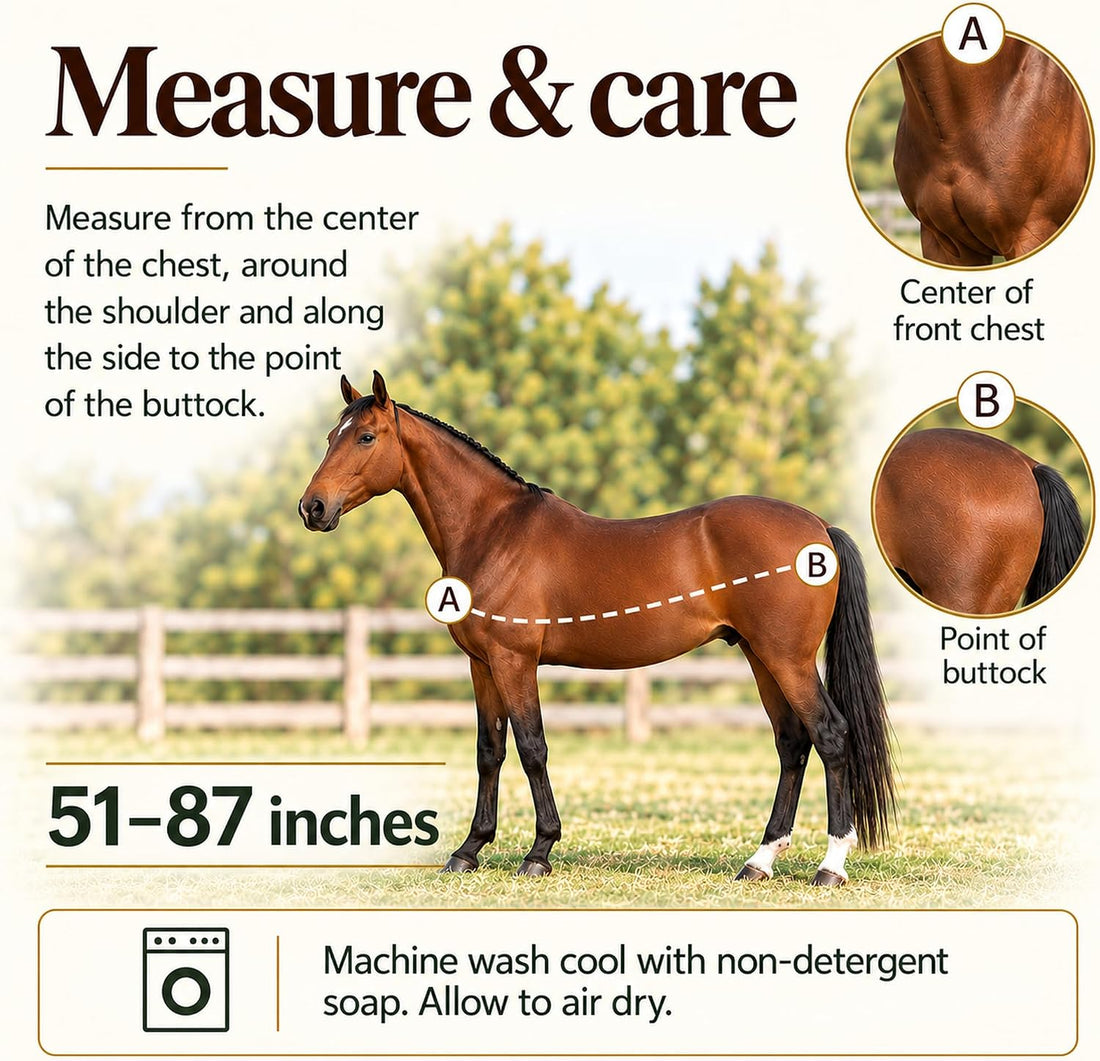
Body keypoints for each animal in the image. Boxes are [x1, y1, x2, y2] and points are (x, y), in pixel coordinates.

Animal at [300, 373, 894, 885]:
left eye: (366, 437)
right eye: (332, 436)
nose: (313, 507)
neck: (495, 531)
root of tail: (818, 526)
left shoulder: (515, 661)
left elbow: (532, 747)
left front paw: (539, 852)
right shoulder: (482, 664)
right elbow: (489, 751)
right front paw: (469, 850)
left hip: (786, 658)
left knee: (830, 736)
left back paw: (830, 866)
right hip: (759, 655)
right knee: (793, 743)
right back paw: (759, 861)